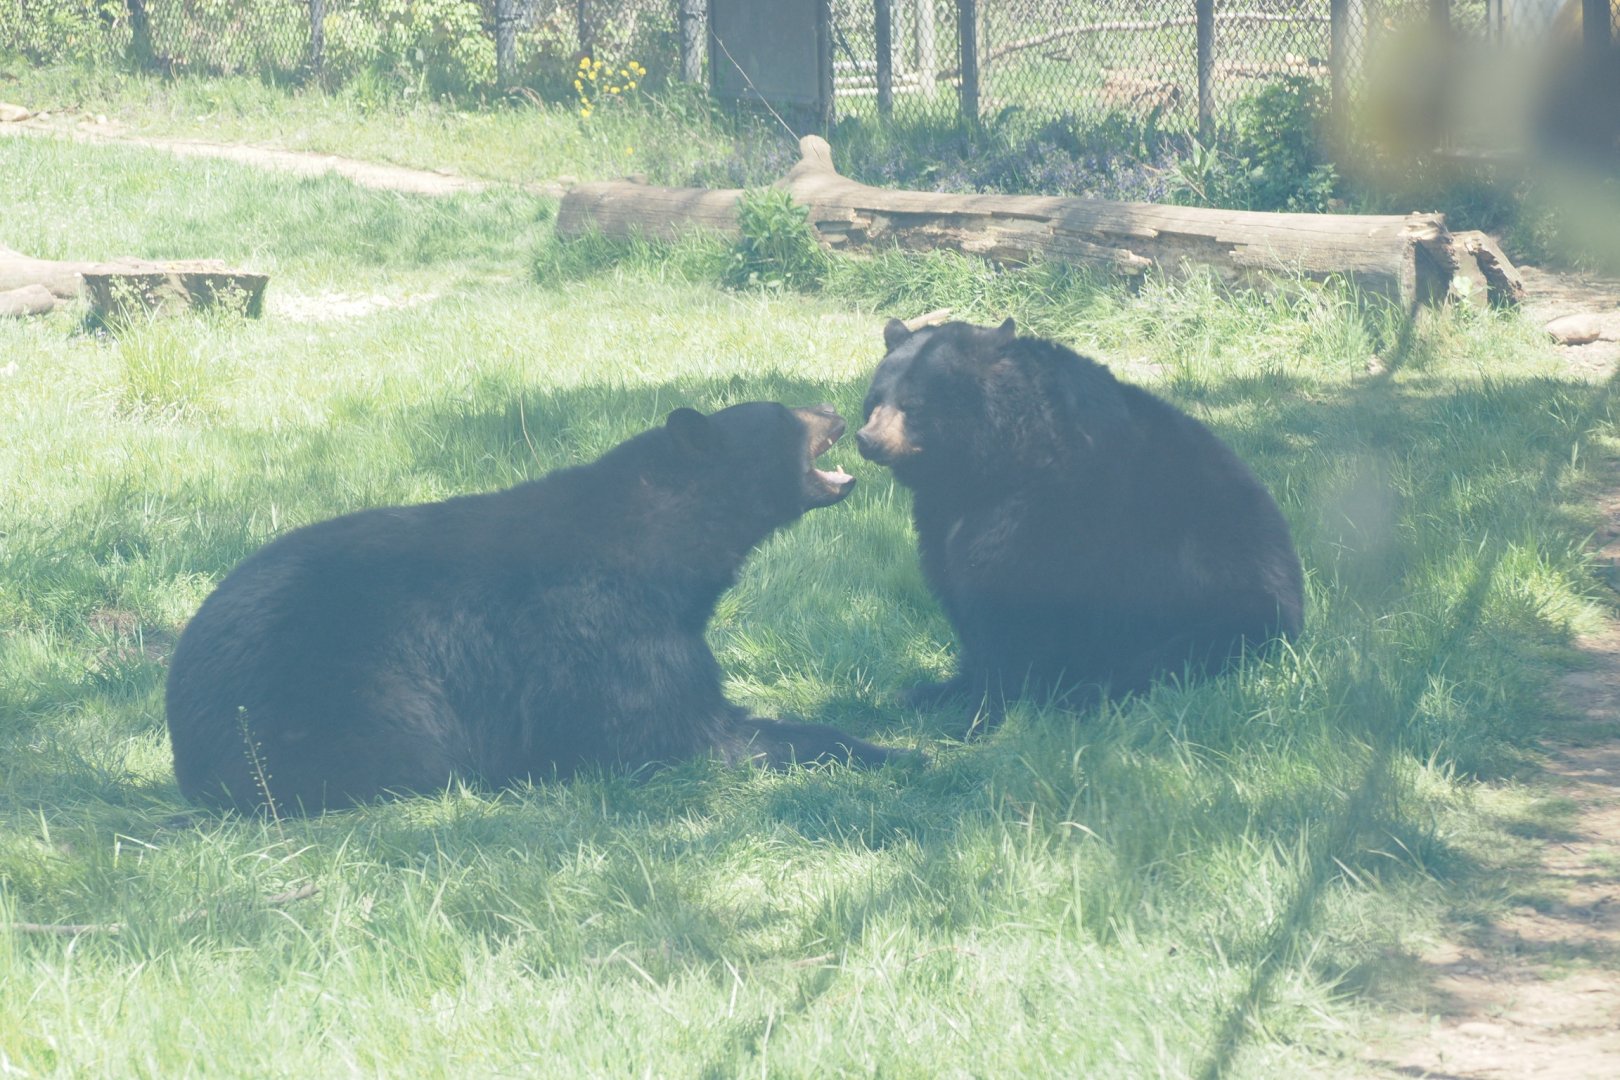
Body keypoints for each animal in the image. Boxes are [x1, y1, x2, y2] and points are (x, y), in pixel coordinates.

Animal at [166, 402, 910, 815]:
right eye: (785, 414)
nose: (834, 410)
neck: (659, 548)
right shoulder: (604, 630)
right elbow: (683, 733)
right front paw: (889, 753)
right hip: (338, 701)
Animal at [855, 317, 1304, 722]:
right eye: (874, 400)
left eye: (913, 406)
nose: (867, 440)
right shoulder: (945, 512)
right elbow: (956, 586)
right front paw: (949, 690)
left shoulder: (1050, 514)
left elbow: (1011, 607)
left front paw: (981, 715)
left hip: (1222, 613)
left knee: (1165, 662)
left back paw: (1085, 695)